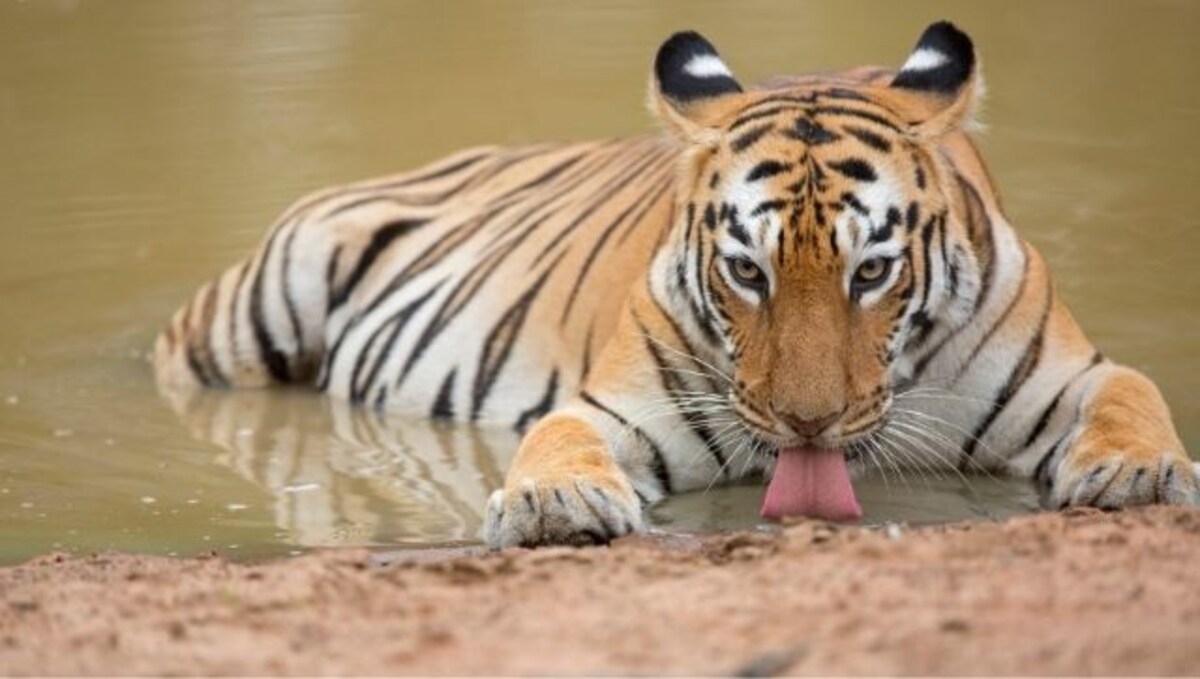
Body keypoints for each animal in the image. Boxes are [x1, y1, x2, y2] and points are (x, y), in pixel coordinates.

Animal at [154, 22, 1195, 554]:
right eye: (747, 271)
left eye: (870, 270)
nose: (809, 423)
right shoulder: (614, 405)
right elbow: (557, 435)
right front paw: (555, 503)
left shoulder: (1072, 373)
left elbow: (1135, 394)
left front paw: (1136, 473)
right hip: (248, 315)